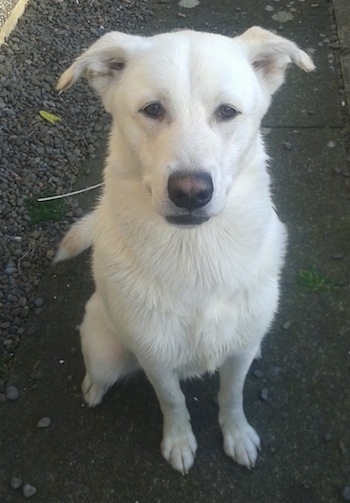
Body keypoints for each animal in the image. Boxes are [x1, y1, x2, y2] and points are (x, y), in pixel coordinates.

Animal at [55, 26, 314, 476]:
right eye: (152, 109)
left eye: (227, 111)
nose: (191, 192)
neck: (197, 254)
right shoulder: (155, 357)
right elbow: (172, 400)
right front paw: (178, 441)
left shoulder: (239, 352)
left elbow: (232, 394)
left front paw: (237, 434)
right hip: (105, 347)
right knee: (99, 371)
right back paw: (92, 388)